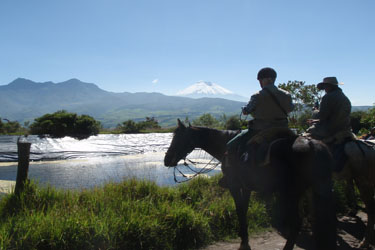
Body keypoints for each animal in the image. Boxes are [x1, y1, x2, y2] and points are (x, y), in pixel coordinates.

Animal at [165, 119, 338, 250]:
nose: (167, 160)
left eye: (178, 138)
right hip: (312, 190)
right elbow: (245, 209)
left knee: (296, 223)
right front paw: (244, 235)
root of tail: (312, 145)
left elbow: (239, 210)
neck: (225, 145)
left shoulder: (234, 186)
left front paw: (244, 241)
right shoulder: (246, 187)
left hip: (290, 194)